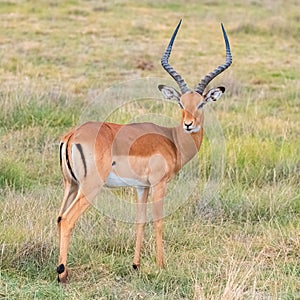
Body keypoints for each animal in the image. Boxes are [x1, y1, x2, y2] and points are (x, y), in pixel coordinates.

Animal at [56, 19, 232, 282]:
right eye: (181, 103)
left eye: (200, 103)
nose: (188, 124)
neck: (172, 139)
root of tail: (72, 135)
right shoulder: (159, 184)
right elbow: (158, 220)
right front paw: (161, 265)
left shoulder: (141, 187)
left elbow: (139, 220)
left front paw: (136, 265)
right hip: (90, 187)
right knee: (67, 220)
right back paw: (62, 274)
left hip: (71, 185)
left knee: (58, 218)